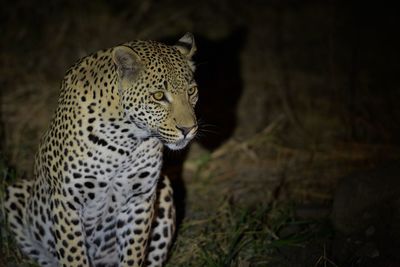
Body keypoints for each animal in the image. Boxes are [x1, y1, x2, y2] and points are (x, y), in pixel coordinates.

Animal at [3, 33, 197, 267]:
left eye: (192, 91)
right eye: (158, 96)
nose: (188, 129)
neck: (126, 140)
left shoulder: (139, 199)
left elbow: (133, 255)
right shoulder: (67, 202)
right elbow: (74, 256)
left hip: (165, 188)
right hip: (14, 195)